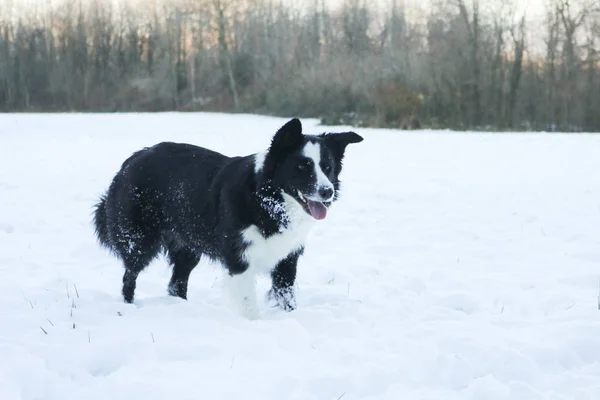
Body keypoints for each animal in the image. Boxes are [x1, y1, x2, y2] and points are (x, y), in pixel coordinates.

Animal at [92, 117, 364, 318]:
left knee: (176, 282)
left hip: (188, 246)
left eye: (327, 167)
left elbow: (286, 296)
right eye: (301, 167)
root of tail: (133, 159)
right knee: (129, 275)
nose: (327, 192)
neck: (266, 199)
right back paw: (128, 308)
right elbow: (248, 303)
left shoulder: (287, 258)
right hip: (139, 240)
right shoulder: (239, 258)